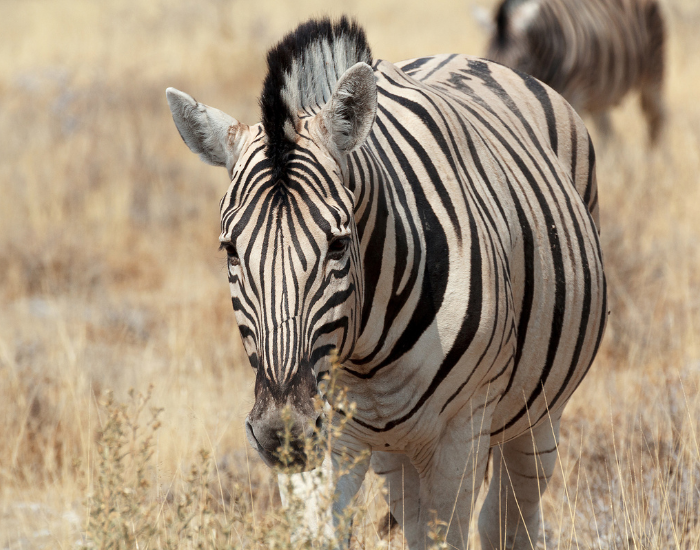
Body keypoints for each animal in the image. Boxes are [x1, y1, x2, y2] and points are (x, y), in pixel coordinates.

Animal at [166, 16, 607, 549]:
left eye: (338, 245)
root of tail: (467, 57)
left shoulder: (460, 435)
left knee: (508, 520)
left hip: (538, 414)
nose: (282, 434)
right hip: (397, 452)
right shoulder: (328, 442)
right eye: (231, 251)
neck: (365, 358)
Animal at [479, 0, 666, 144]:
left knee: (658, 119)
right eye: (488, 58)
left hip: (653, 71)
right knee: (609, 134)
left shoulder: (576, 94)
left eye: (523, 60)